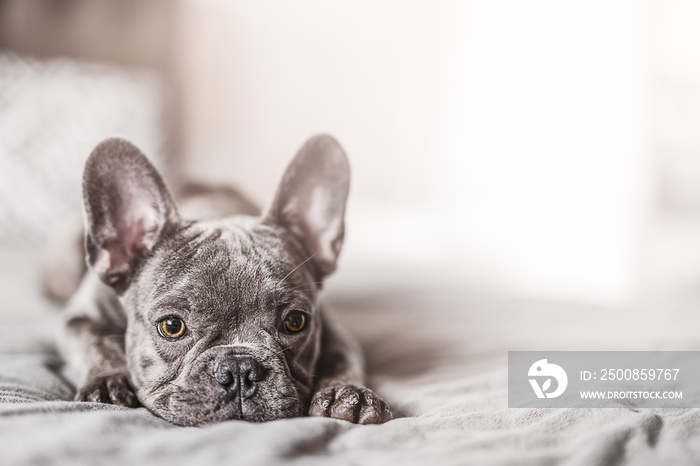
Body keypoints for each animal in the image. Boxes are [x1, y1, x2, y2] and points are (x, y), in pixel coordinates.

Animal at [57, 134, 392, 426]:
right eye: (171, 326)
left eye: (295, 321)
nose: (240, 368)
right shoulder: (80, 317)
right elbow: (97, 341)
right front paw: (108, 380)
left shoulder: (329, 324)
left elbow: (342, 353)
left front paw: (348, 393)